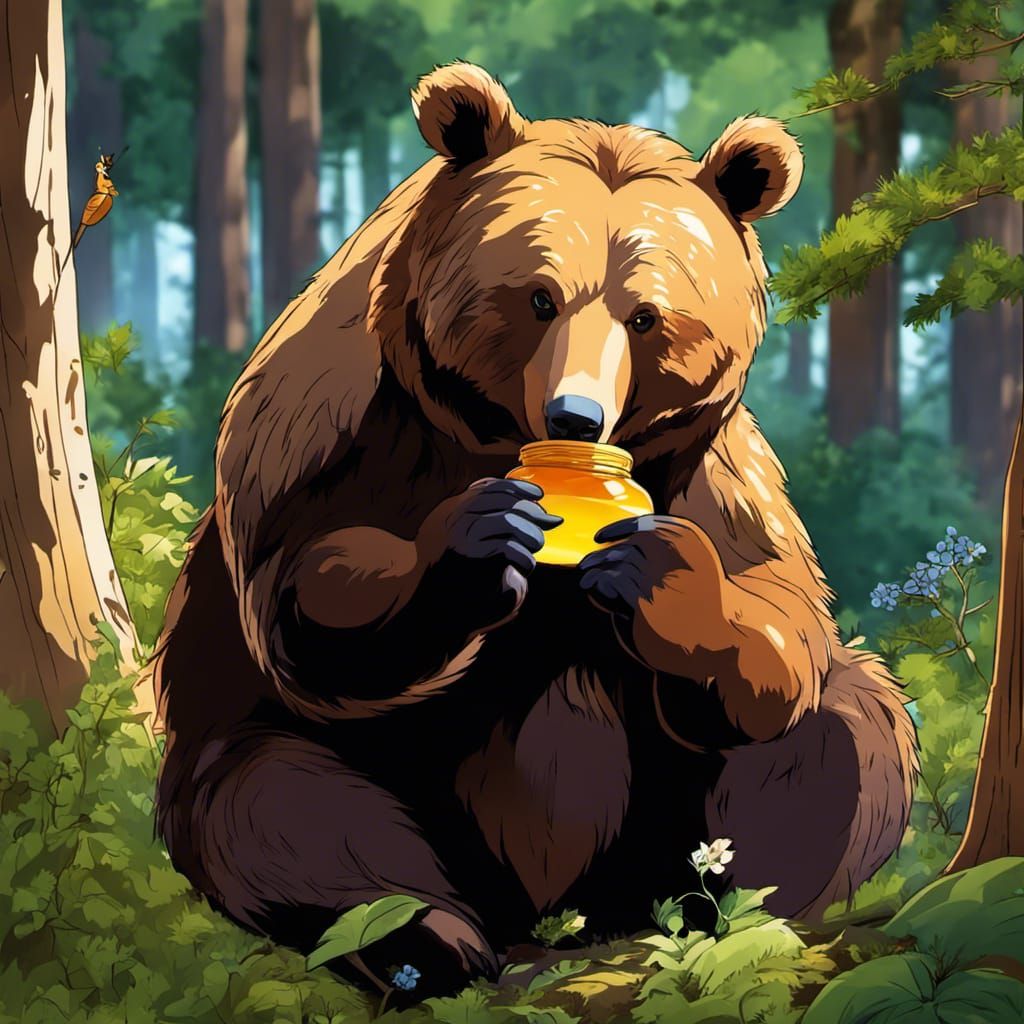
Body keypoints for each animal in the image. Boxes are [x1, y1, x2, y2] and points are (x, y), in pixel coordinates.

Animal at [152, 62, 919, 999]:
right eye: (539, 296)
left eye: (645, 316)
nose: (576, 416)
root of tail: (551, 921)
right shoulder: (341, 427)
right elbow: (312, 592)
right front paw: (481, 543)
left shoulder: (707, 466)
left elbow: (778, 618)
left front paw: (659, 578)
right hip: (352, 776)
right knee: (277, 804)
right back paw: (424, 939)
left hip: (658, 831)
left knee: (843, 739)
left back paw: (729, 914)